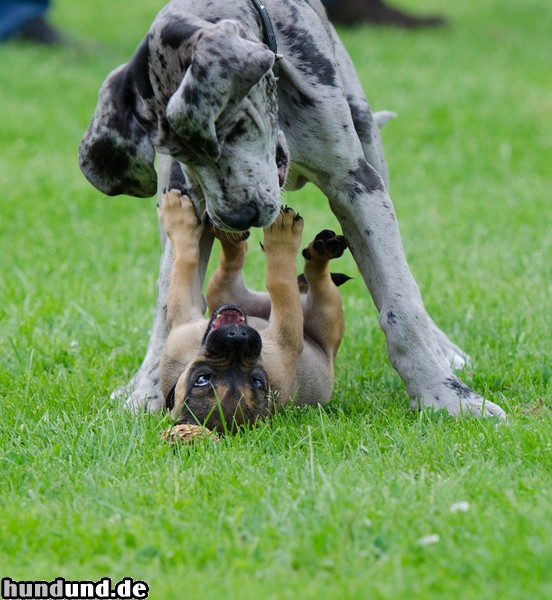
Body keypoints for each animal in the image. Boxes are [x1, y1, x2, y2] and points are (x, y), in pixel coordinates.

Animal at [157, 189, 348, 432]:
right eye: (201, 379)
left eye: (257, 382)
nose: (237, 336)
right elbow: (279, 281)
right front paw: (282, 239)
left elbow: (185, 257)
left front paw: (176, 216)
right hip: (328, 309)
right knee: (316, 277)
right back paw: (319, 254)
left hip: (221, 291)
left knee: (230, 266)